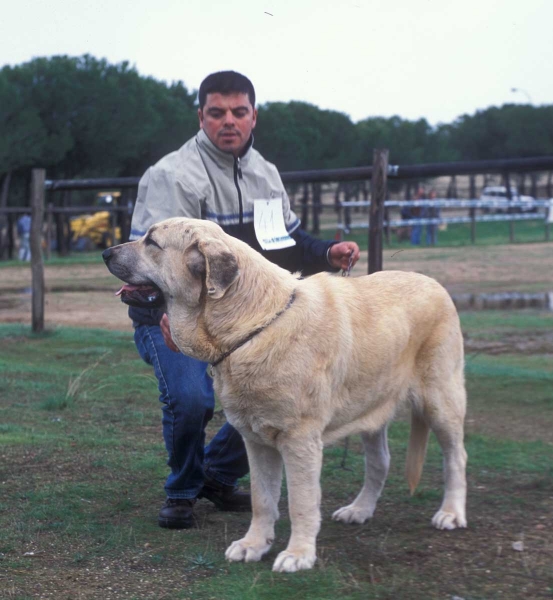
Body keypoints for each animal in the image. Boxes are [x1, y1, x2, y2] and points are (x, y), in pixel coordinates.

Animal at [103, 218, 466, 576]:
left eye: (152, 242)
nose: (106, 252)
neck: (251, 325)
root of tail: (433, 283)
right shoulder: (255, 440)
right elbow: (262, 499)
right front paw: (253, 545)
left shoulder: (299, 440)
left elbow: (301, 502)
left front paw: (299, 554)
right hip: (372, 409)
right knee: (380, 462)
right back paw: (360, 509)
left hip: (441, 402)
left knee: (456, 458)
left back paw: (451, 513)